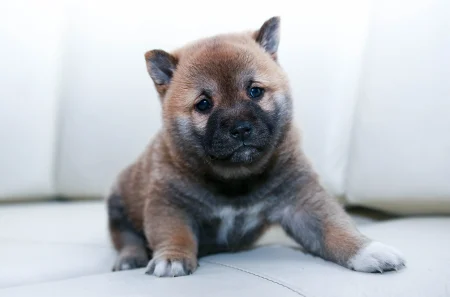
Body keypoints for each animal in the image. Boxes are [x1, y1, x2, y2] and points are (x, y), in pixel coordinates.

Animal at [107, 16, 406, 276]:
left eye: (255, 91)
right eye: (203, 104)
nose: (240, 129)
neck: (236, 181)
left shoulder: (302, 201)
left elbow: (334, 227)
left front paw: (367, 251)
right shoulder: (169, 204)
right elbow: (174, 233)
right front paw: (172, 258)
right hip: (119, 204)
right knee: (126, 237)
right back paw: (130, 258)